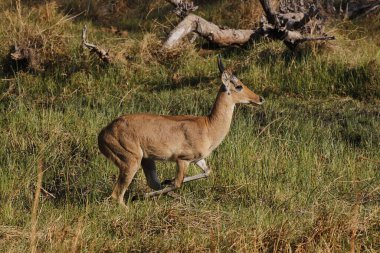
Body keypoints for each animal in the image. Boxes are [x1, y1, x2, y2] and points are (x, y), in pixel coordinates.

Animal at [98, 55, 264, 206]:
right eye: (238, 86)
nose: (260, 99)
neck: (207, 126)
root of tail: (103, 132)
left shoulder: (198, 159)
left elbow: (207, 172)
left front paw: (166, 180)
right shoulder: (182, 160)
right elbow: (178, 183)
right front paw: (151, 190)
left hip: (146, 160)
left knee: (152, 183)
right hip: (131, 161)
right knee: (117, 195)